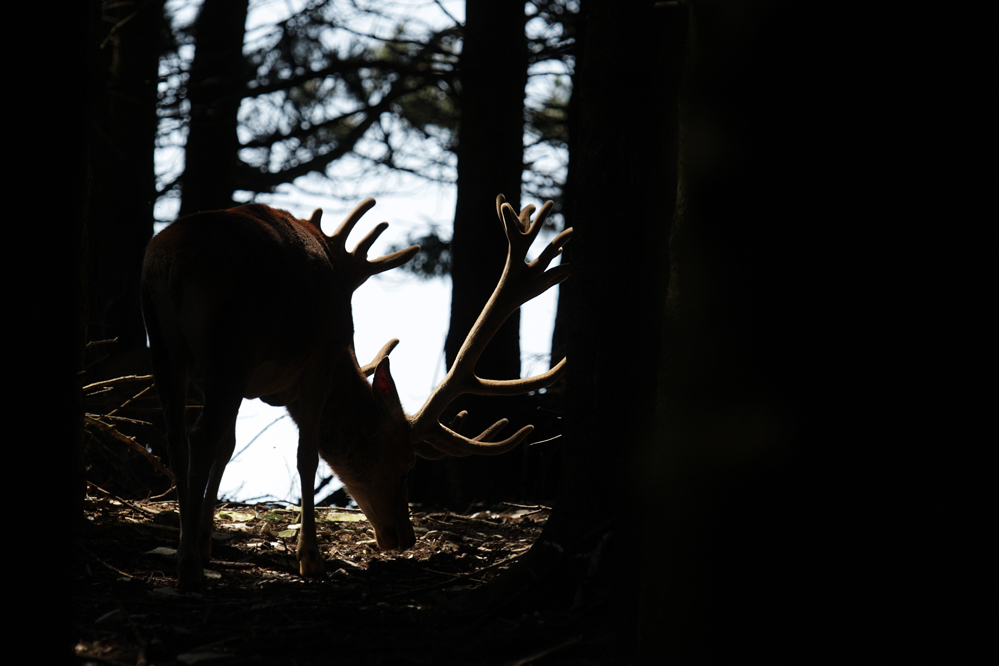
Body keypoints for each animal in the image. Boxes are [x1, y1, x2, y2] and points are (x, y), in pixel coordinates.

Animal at [141, 195, 571, 589]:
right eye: (407, 461)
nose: (404, 536)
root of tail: (173, 260)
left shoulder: (245, 384)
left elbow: (228, 448)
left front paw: (206, 539)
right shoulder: (319, 360)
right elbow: (307, 456)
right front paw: (311, 560)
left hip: (165, 346)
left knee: (177, 437)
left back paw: (186, 550)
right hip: (231, 346)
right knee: (200, 435)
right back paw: (188, 566)